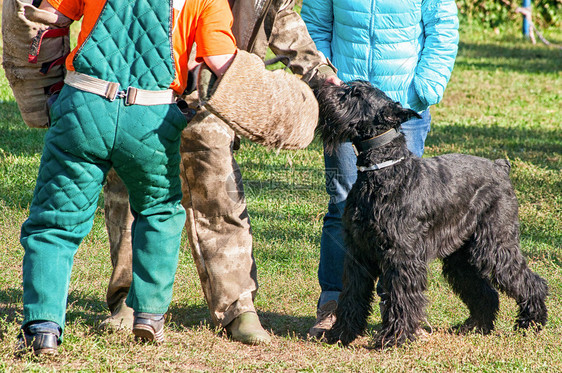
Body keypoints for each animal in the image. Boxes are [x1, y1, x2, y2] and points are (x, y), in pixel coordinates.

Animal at [316, 80, 548, 348]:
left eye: (356, 93)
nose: (322, 87)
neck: (382, 170)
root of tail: (500, 167)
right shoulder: (358, 252)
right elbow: (352, 295)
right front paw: (342, 333)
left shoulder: (401, 255)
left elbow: (401, 296)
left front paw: (394, 337)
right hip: (462, 258)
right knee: (486, 291)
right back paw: (475, 326)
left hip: (495, 246)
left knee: (530, 281)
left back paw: (531, 322)